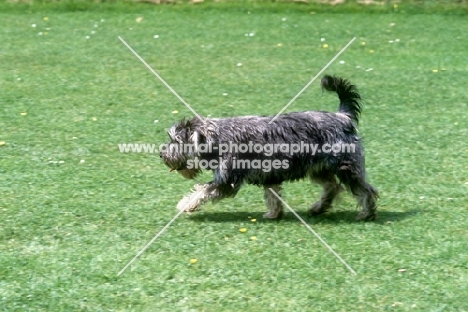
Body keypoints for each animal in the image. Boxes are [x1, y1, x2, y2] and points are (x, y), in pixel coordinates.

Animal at [159, 74, 378, 221]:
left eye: (175, 141)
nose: (162, 153)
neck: (218, 138)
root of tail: (343, 116)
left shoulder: (227, 180)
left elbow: (203, 190)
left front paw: (186, 204)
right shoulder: (269, 175)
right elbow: (272, 195)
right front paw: (274, 214)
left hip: (346, 167)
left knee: (365, 190)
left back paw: (366, 213)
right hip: (319, 169)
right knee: (332, 187)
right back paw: (318, 208)